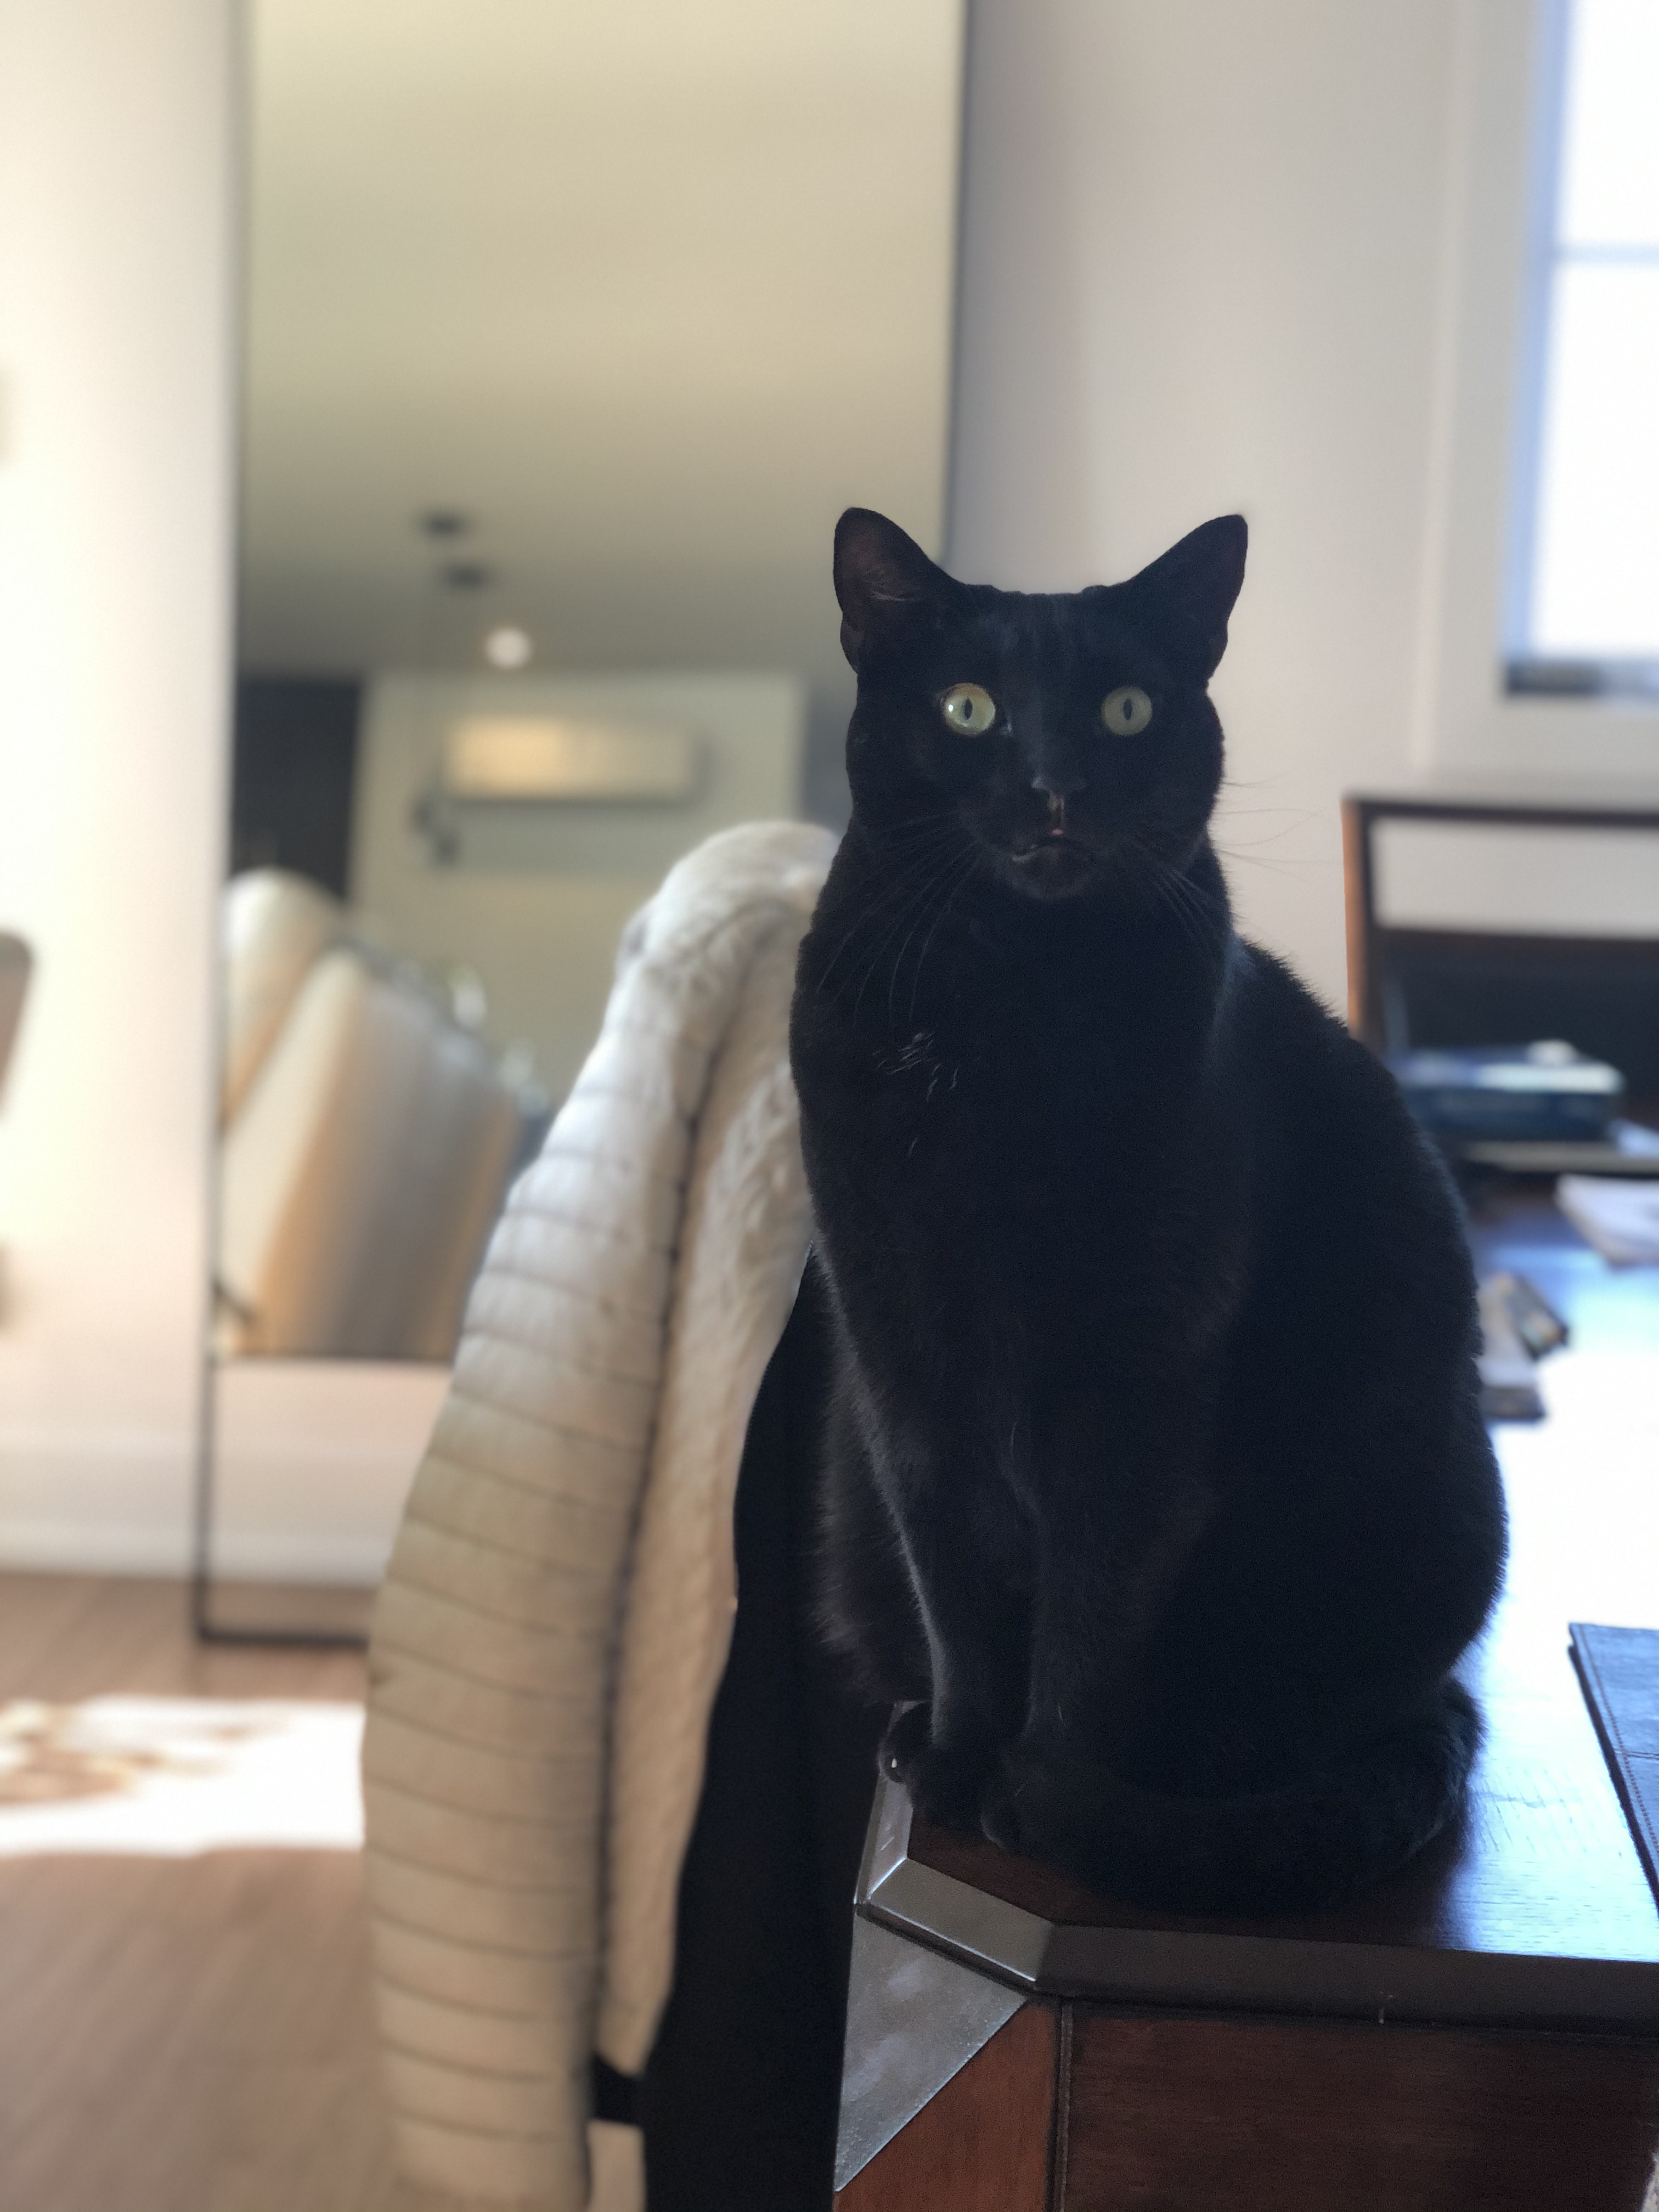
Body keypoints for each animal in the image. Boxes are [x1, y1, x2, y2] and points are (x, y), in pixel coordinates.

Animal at [788, 507, 1507, 1915]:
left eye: (1126, 711)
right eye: (969, 708)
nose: (1057, 786)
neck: (1003, 1002)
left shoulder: (1137, 1383)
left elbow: (1092, 1606)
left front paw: (1047, 1801)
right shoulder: (902, 1374)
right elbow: (955, 1592)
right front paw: (959, 1760)